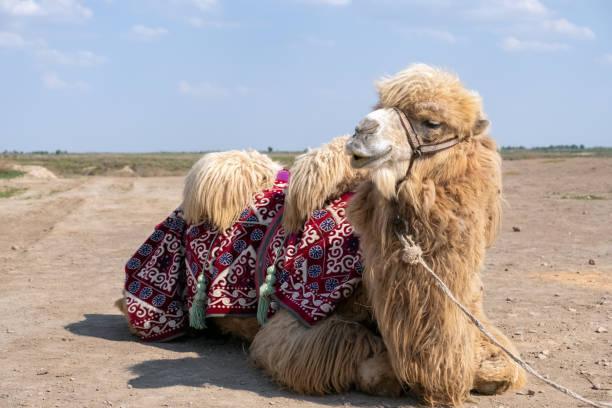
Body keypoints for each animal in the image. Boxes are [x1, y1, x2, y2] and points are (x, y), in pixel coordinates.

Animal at [118, 63, 524, 404]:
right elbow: (373, 367)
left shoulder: (472, 313)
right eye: (380, 105)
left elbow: (503, 367)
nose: (362, 130)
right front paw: (387, 373)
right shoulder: (293, 323)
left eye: (432, 122)